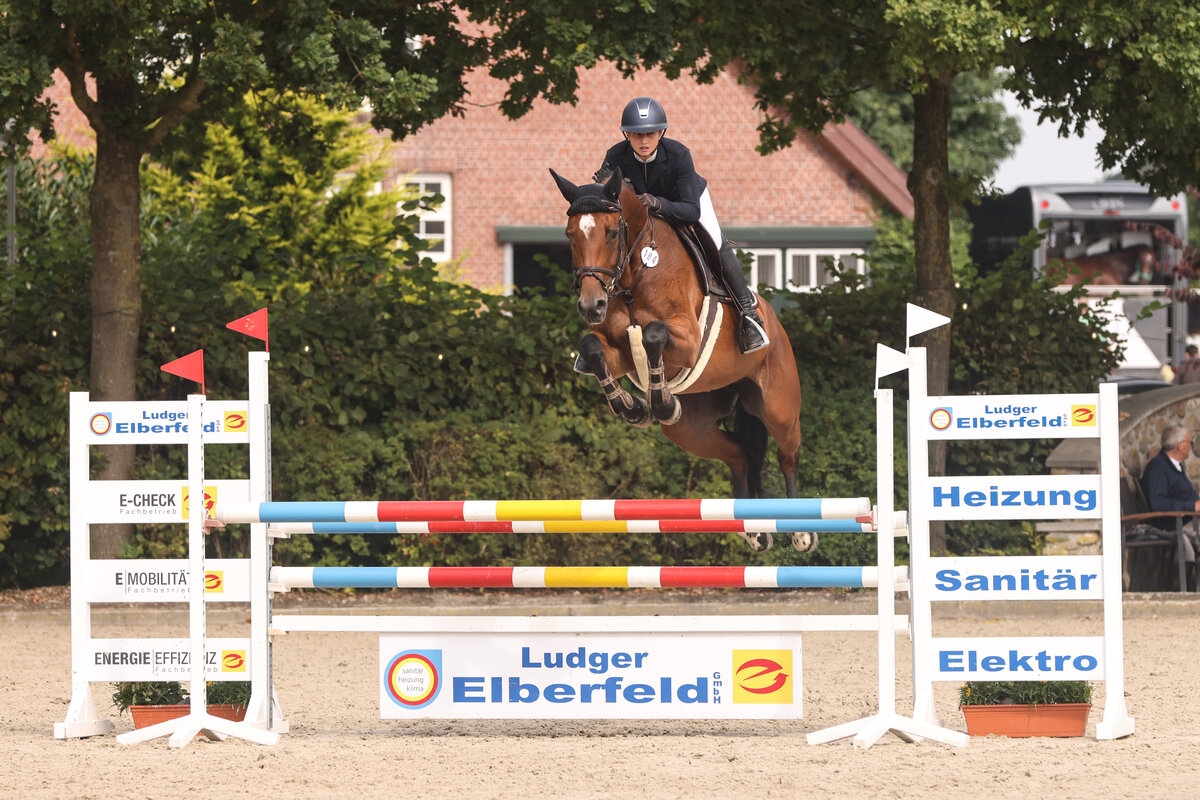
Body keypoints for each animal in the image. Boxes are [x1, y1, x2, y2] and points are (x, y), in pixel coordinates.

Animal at [549, 167, 810, 553]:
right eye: (569, 235)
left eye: (612, 232)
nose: (591, 306)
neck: (634, 276)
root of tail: (775, 323)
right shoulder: (619, 352)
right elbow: (593, 347)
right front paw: (633, 407)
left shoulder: (687, 341)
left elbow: (654, 334)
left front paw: (659, 402)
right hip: (691, 429)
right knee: (739, 454)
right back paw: (755, 531)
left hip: (778, 406)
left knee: (788, 455)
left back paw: (801, 533)